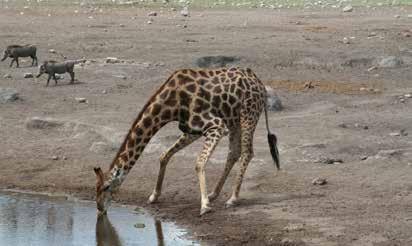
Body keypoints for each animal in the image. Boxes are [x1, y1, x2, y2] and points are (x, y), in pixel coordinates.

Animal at [93, 67, 280, 215]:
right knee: (234, 152)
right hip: (235, 120)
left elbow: (198, 163)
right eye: (96, 188)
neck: (171, 104)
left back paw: (233, 198)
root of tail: (260, 83)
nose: (100, 208)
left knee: (247, 152)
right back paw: (214, 193)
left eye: (106, 187)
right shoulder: (192, 130)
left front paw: (204, 206)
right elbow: (164, 156)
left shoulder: (216, 126)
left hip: (248, 114)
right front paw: (154, 196)